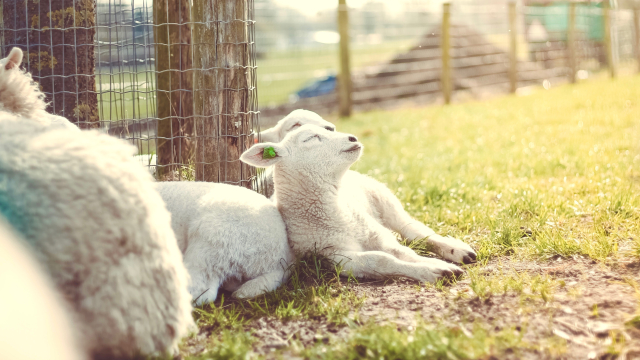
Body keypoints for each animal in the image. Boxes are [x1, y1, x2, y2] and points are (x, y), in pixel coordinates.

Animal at [242, 125, 478, 286]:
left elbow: (403, 252)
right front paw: (435, 271)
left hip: (383, 198)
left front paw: (436, 265)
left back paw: (457, 250)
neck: (335, 214)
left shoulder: (375, 233)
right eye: (310, 138)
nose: (353, 138)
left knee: (414, 231)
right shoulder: (334, 256)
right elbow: (381, 260)